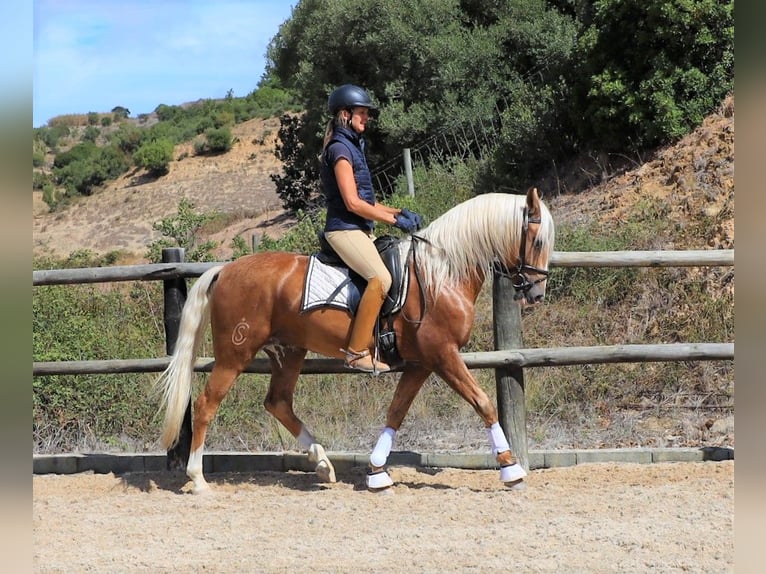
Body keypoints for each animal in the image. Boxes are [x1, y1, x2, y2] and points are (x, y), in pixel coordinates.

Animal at [156, 189, 556, 496]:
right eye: (537, 241)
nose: (537, 294)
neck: (440, 274)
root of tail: (226, 269)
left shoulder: (422, 362)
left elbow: (396, 412)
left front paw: (377, 472)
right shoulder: (443, 355)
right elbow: (483, 402)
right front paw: (510, 470)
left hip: (289, 350)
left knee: (278, 402)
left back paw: (322, 464)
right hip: (235, 352)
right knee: (206, 404)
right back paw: (198, 479)